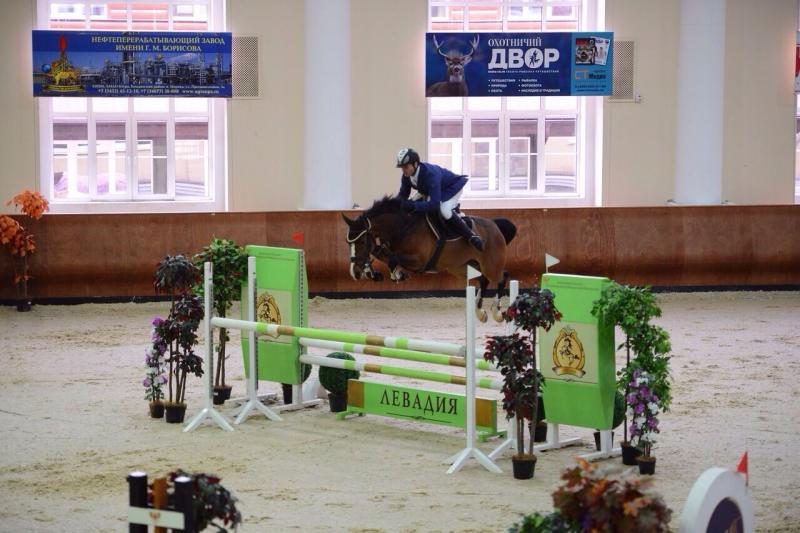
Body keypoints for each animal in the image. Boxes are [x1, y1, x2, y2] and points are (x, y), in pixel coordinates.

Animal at [342, 196, 517, 322]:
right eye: (348, 243)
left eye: (361, 242)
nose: (354, 273)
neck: (403, 227)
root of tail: (495, 225)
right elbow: (383, 254)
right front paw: (375, 273)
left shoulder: (420, 261)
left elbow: (392, 260)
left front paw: (397, 274)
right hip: (461, 267)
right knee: (483, 280)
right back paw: (480, 311)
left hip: (490, 265)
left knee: (502, 277)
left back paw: (497, 312)